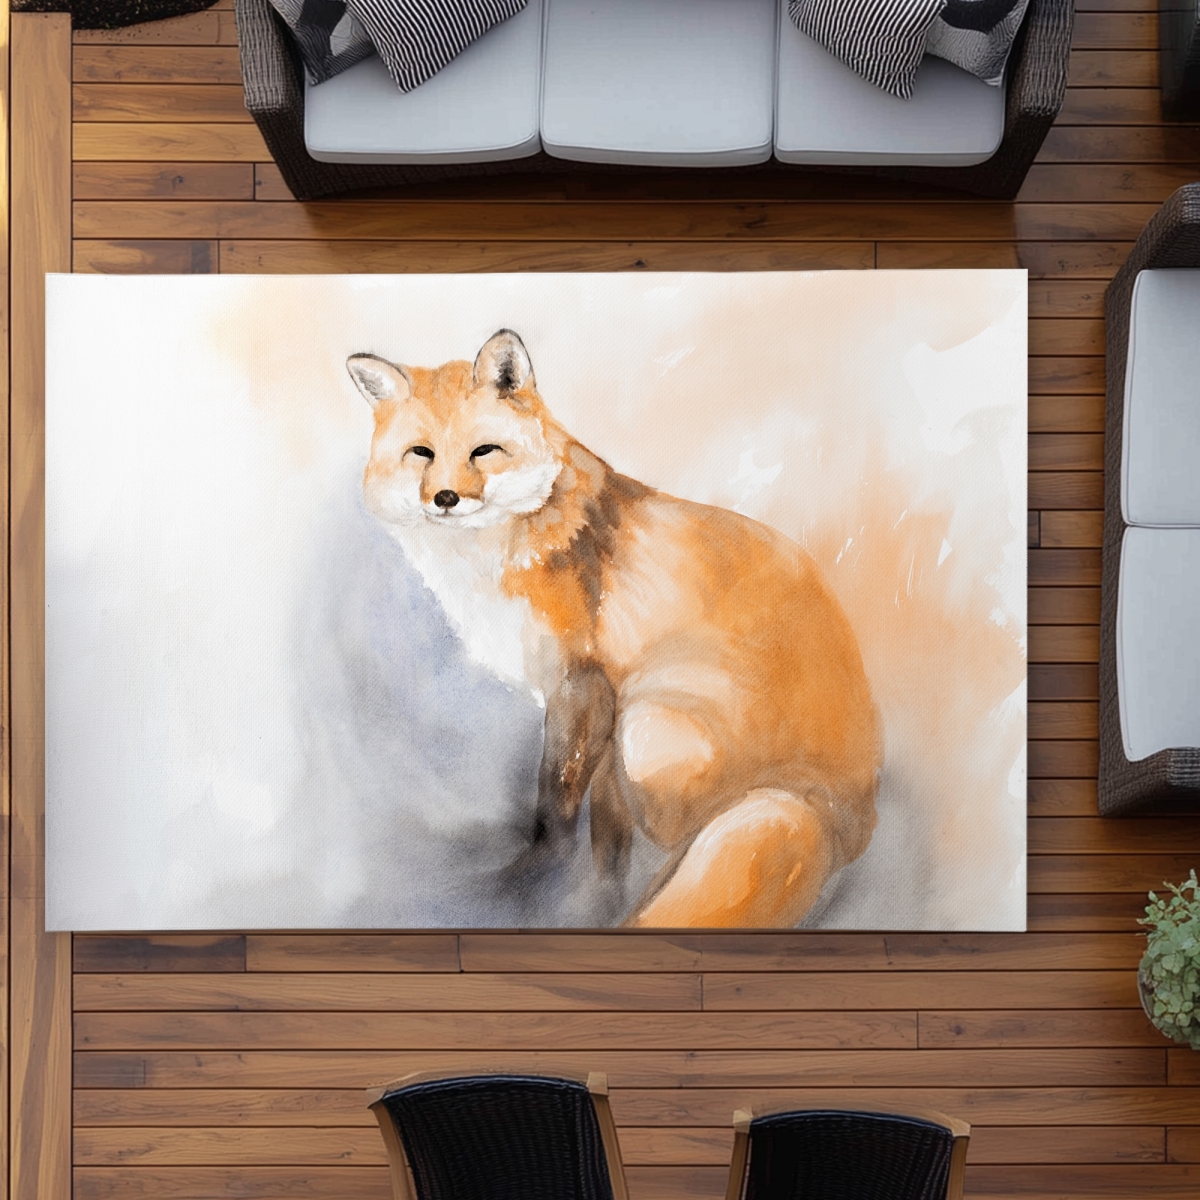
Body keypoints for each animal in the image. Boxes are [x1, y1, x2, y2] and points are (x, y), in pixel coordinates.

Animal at [346, 329, 882, 927]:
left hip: (645, 726)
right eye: (421, 454)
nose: (445, 498)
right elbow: (598, 820)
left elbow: (554, 803)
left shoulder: (581, 684)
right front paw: (593, 884)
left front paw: (530, 879)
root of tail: (836, 810)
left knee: (680, 840)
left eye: (483, 451)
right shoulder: (594, 706)